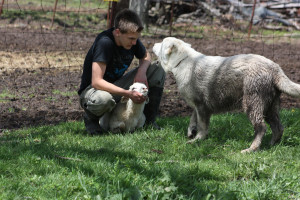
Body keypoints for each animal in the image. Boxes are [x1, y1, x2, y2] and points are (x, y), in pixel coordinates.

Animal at [154, 36, 298, 153]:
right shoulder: (198, 105)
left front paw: (197, 140)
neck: (182, 61)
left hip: (252, 103)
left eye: (161, 43)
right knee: (278, 127)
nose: (153, 44)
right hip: (269, 107)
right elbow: (193, 118)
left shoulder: (202, 106)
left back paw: (251, 149)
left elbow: (202, 126)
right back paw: (271, 145)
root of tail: (275, 68)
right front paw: (191, 131)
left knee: (261, 128)